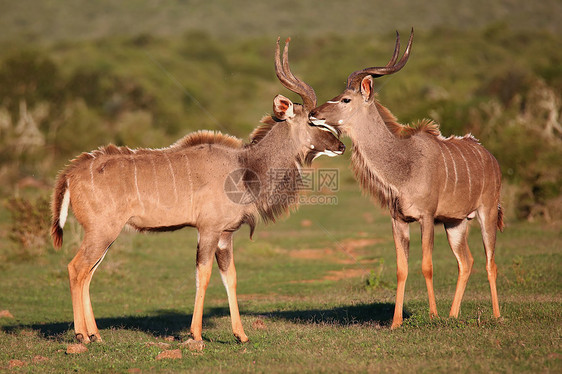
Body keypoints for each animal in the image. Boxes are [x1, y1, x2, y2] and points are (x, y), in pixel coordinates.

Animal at [52, 38, 344, 344]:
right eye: (313, 120)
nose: (341, 146)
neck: (244, 167)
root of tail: (70, 173)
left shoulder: (226, 235)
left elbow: (231, 277)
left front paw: (241, 335)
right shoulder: (209, 230)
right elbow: (202, 275)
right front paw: (196, 335)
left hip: (105, 236)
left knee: (88, 272)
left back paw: (96, 335)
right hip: (102, 232)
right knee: (76, 268)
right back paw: (82, 336)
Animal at [308, 29, 500, 328]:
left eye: (345, 100)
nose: (313, 114)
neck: (404, 166)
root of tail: (491, 158)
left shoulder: (427, 217)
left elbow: (427, 265)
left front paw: (433, 315)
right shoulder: (398, 220)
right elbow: (402, 268)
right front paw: (396, 321)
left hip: (486, 213)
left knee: (490, 262)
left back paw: (496, 316)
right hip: (456, 223)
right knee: (466, 262)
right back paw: (453, 315)